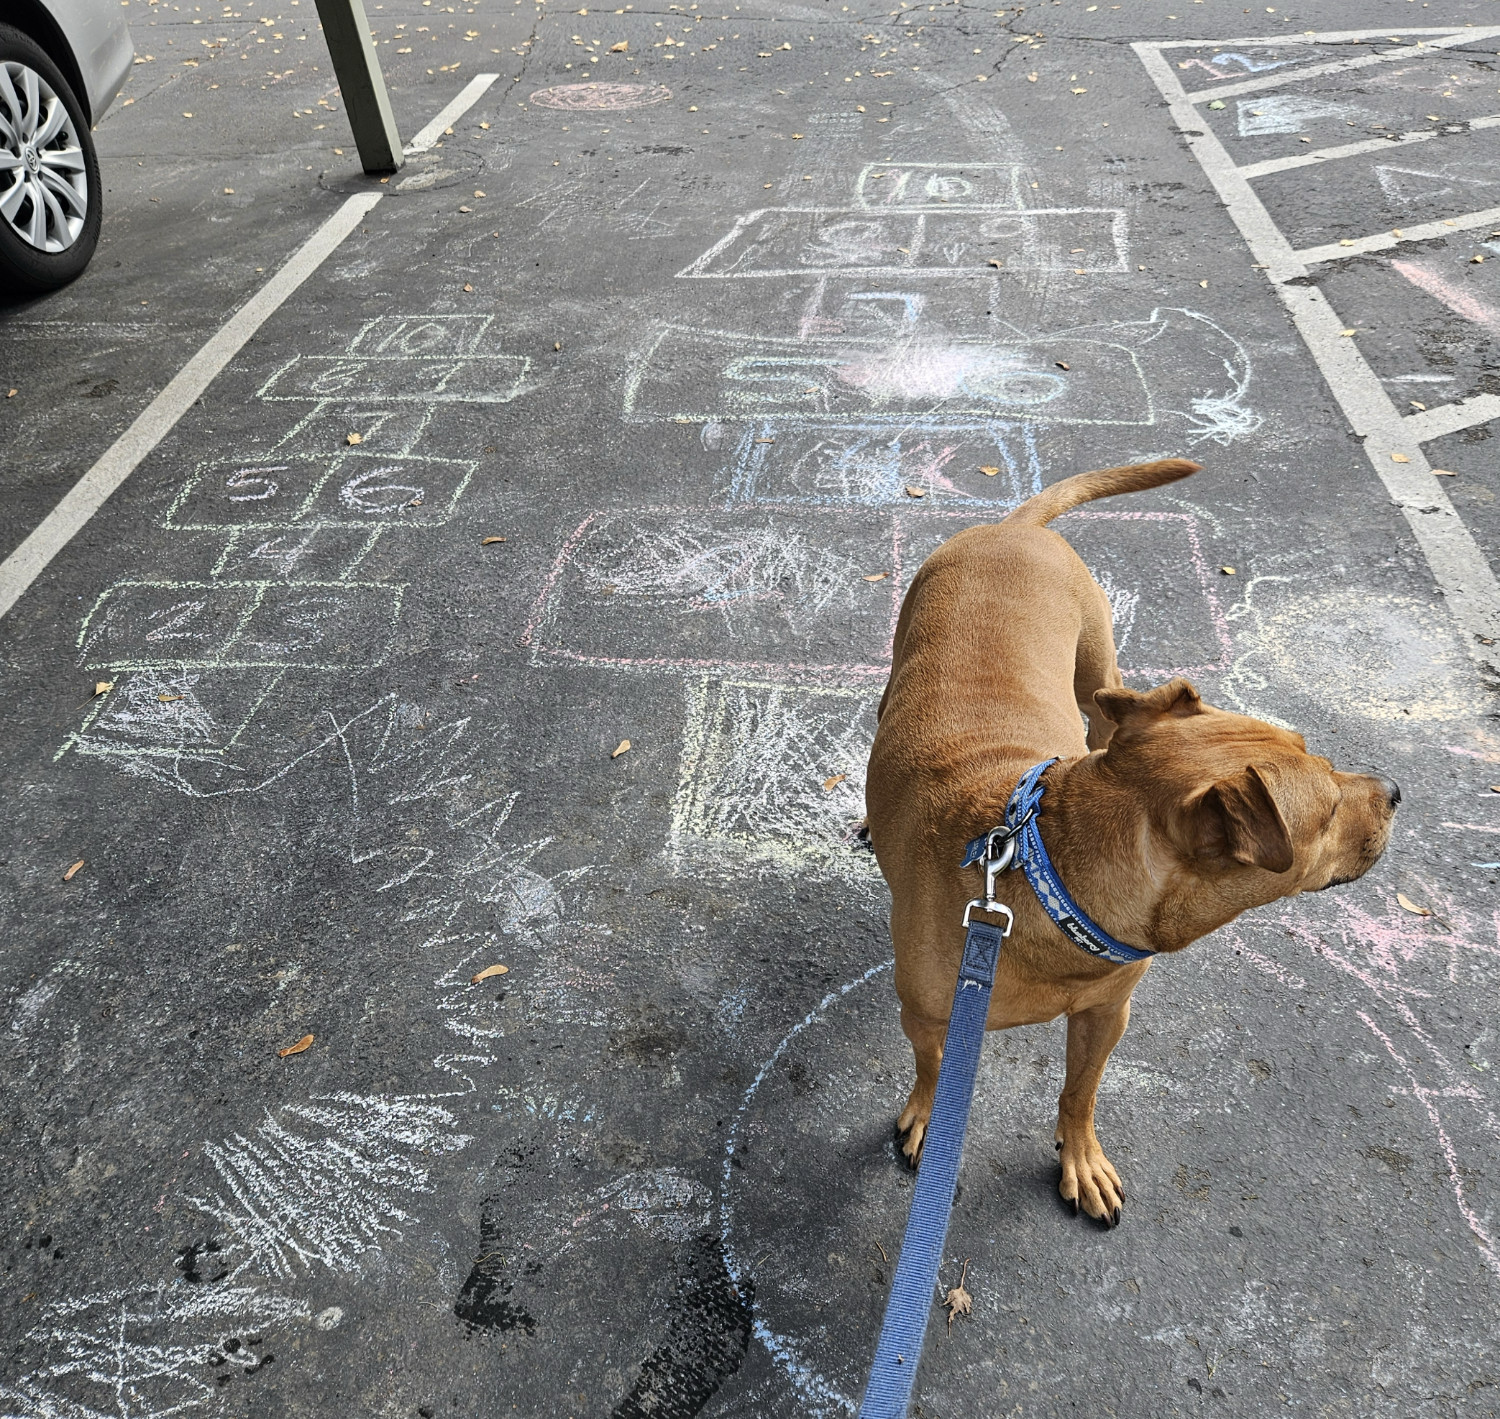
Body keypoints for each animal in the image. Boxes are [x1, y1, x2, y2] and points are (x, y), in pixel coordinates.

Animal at [864, 459, 1398, 1224]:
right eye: (1327, 810)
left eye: (1315, 750)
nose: (1394, 789)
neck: (1049, 871)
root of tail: (1012, 528)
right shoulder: (932, 1019)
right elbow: (934, 1072)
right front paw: (929, 1117)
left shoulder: (1106, 1013)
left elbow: (1080, 1090)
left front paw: (1081, 1158)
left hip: (1099, 679)